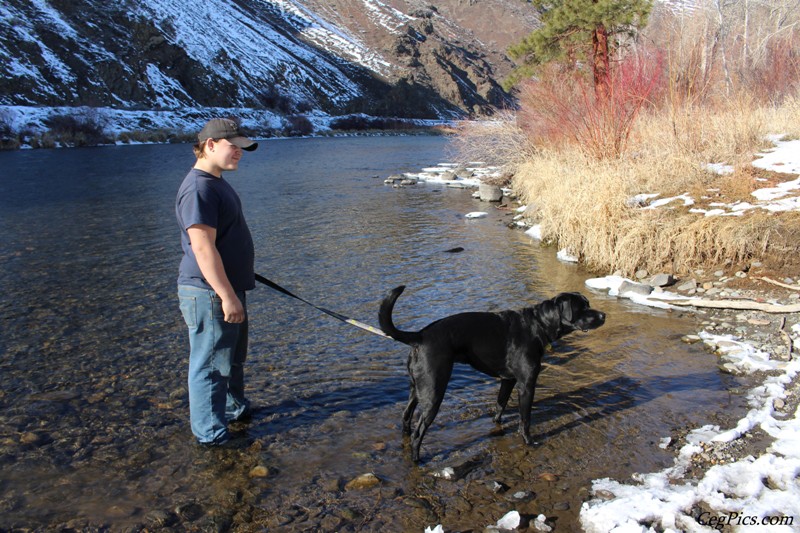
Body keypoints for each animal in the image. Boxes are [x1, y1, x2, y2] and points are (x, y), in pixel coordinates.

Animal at [378, 282, 604, 462]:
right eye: (582, 307)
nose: (604, 315)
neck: (538, 325)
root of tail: (419, 335)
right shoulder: (526, 385)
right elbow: (525, 419)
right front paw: (528, 441)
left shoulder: (508, 380)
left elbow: (500, 405)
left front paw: (497, 425)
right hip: (434, 392)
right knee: (418, 434)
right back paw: (417, 460)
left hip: (417, 389)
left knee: (406, 416)